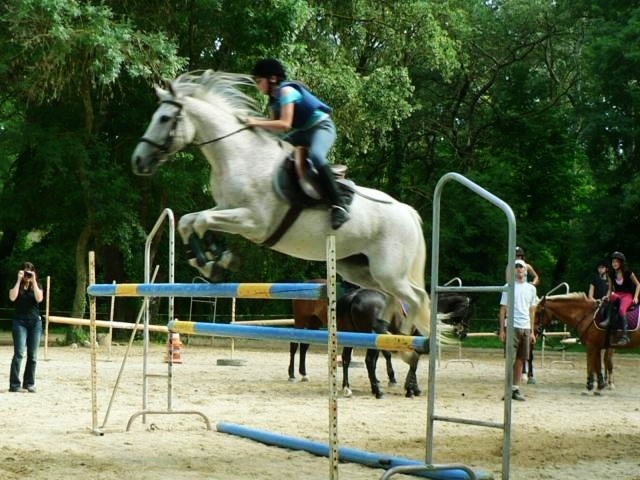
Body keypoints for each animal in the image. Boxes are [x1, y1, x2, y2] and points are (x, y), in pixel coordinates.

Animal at [132, 71, 434, 374]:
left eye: (164, 118)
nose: (138, 161)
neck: (239, 156)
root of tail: (406, 210)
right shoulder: (226, 208)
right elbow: (189, 222)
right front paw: (213, 262)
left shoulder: (254, 222)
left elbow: (203, 220)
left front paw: (215, 261)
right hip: (358, 269)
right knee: (396, 296)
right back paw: (388, 333)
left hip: (388, 270)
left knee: (417, 298)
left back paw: (407, 348)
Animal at [290, 286, 474, 398]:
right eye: (468, 311)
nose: (464, 333)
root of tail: (354, 296)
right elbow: (413, 365)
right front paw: (411, 389)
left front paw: (411, 387)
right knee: (368, 361)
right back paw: (377, 391)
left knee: (346, 359)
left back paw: (347, 387)